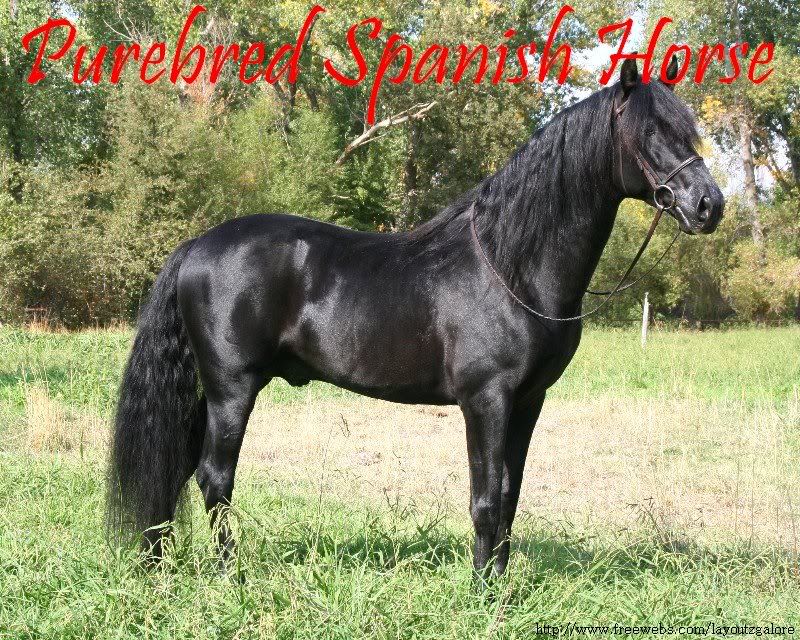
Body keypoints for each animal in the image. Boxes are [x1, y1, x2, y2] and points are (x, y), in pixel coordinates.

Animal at [108, 57, 724, 581]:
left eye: (686, 130)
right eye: (651, 132)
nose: (709, 205)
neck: (511, 264)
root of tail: (196, 245)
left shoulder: (528, 402)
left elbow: (510, 495)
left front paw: (500, 586)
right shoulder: (486, 400)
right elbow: (485, 499)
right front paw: (482, 594)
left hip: (208, 390)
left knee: (176, 466)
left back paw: (158, 563)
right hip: (232, 389)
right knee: (215, 478)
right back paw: (227, 575)